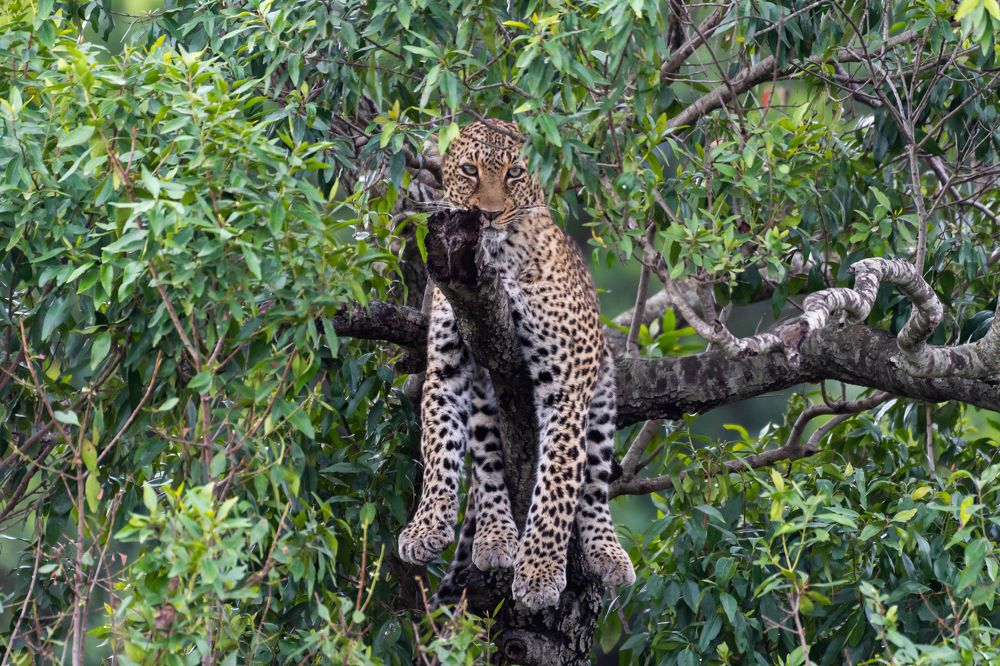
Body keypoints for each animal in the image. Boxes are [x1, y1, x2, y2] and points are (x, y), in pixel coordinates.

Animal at [397, 119, 635, 610]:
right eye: (470, 171)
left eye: (515, 173)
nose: (487, 215)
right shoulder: (447, 368)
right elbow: (438, 448)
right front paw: (426, 527)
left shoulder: (566, 390)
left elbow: (558, 482)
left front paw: (540, 572)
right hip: (486, 401)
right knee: (487, 466)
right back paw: (495, 537)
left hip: (602, 394)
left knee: (595, 482)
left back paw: (607, 553)